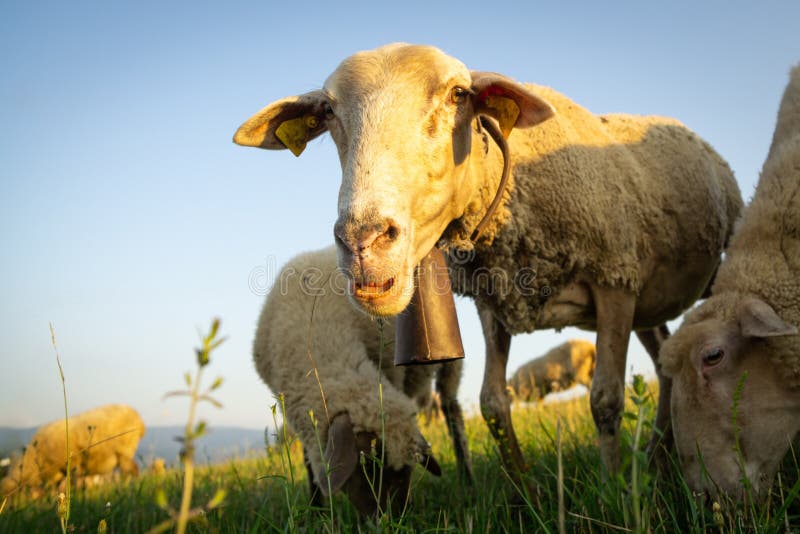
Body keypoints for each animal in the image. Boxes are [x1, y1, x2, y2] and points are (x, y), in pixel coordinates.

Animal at [1, 406, 145, 498]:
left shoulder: (70, 465)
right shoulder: (58, 473)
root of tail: (138, 419)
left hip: (124, 452)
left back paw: (130, 487)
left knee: (131, 471)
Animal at [233, 44, 744, 484]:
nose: (364, 241)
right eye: (327, 112)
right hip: (646, 298)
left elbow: (604, 400)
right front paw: (525, 495)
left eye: (458, 94)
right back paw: (659, 457)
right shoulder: (493, 303)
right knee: (664, 361)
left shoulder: (613, 280)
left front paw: (615, 489)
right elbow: (494, 405)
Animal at [253, 245, 472, 516]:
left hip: (449, 356)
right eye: (367, 464)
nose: (391, 520)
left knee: (452, 412)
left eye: (407, 471)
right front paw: (317, 511)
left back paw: (467, 478)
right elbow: (309, 463)